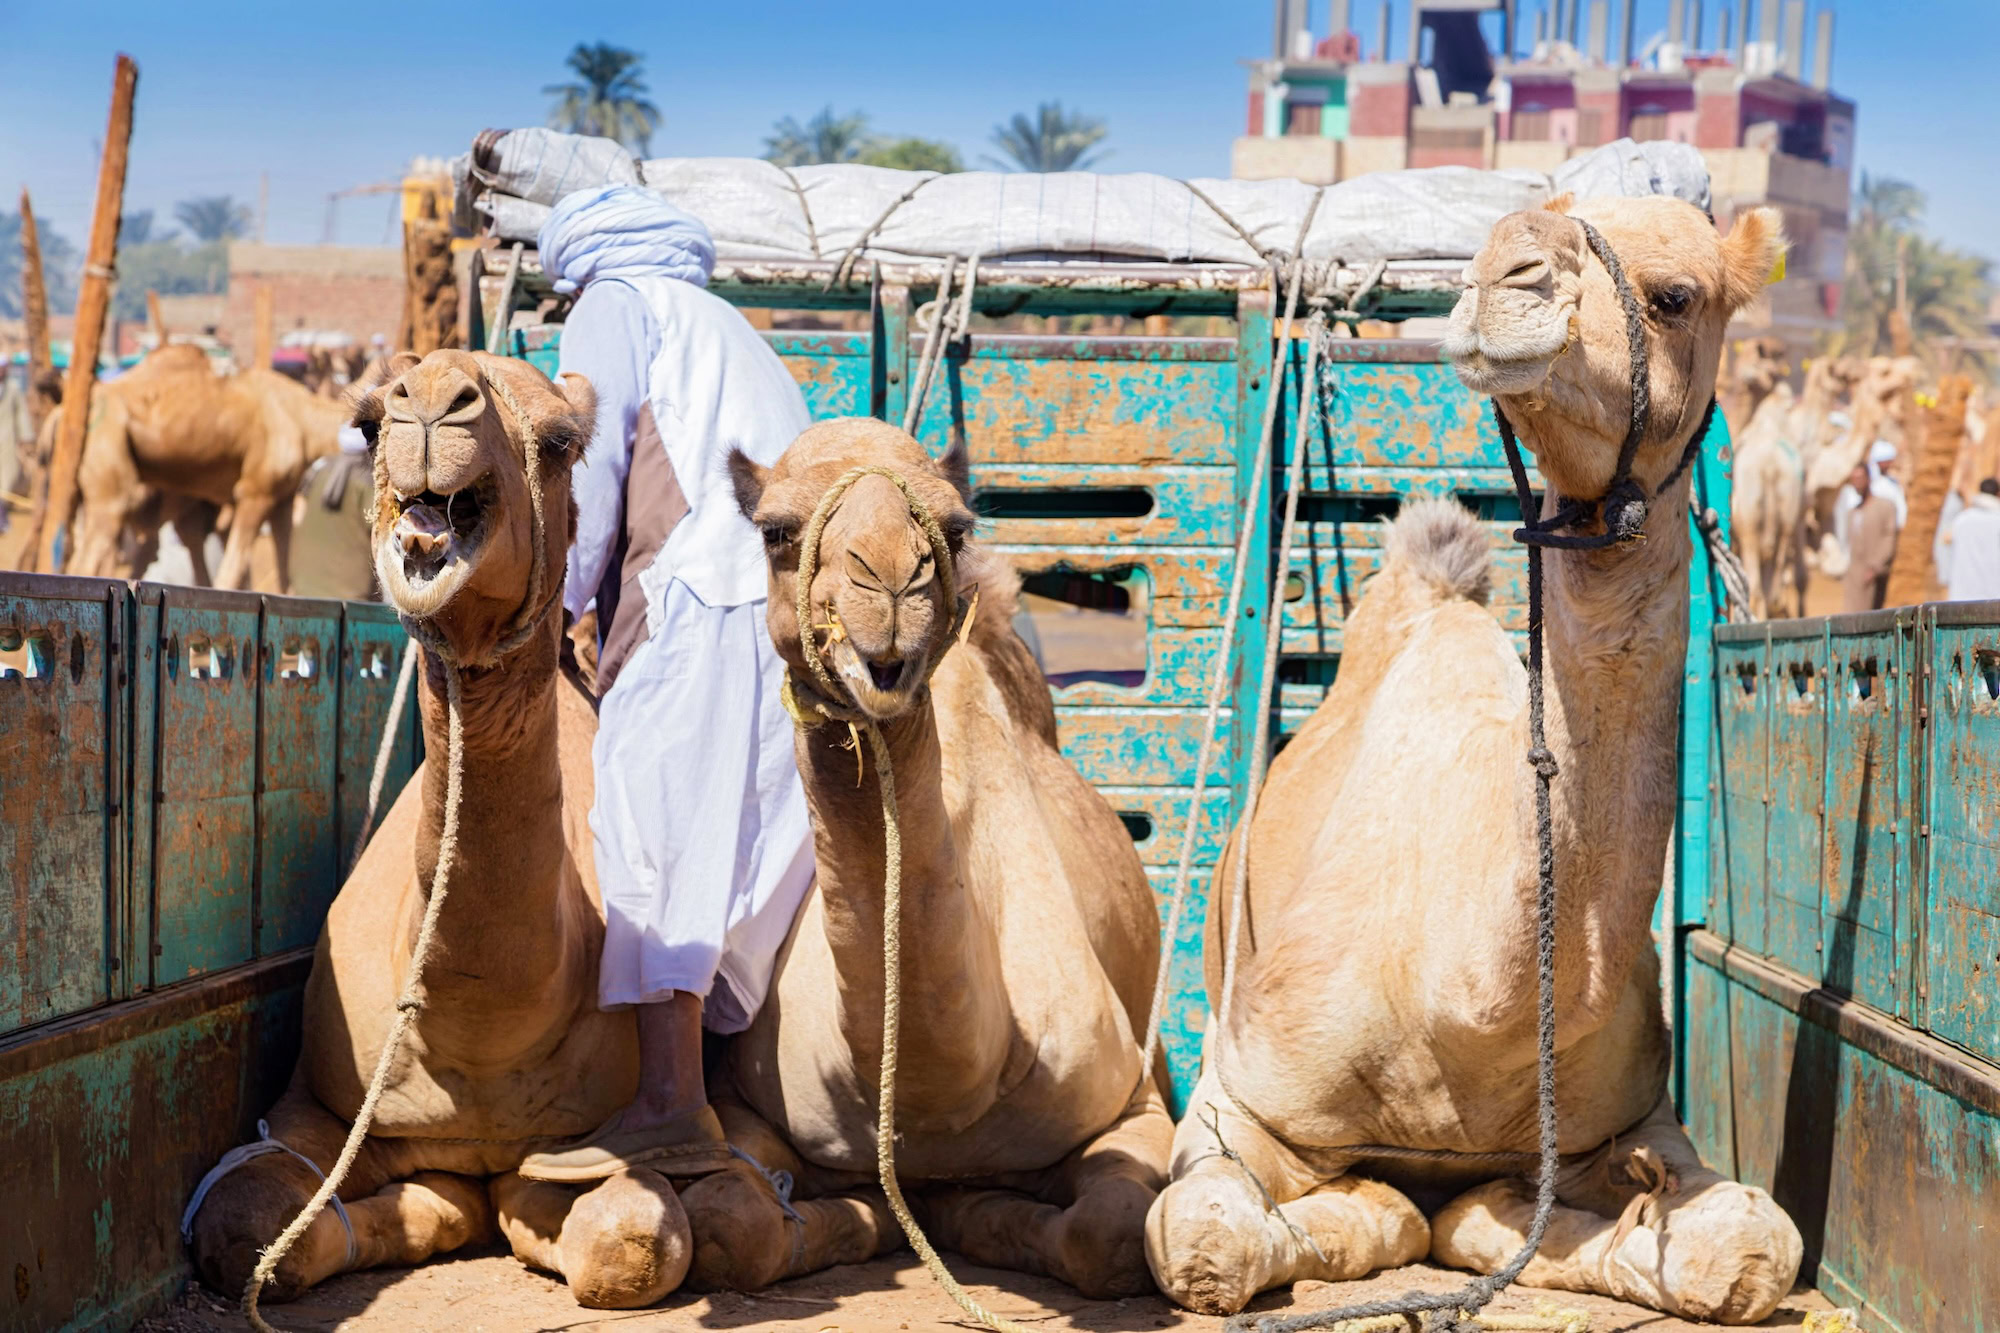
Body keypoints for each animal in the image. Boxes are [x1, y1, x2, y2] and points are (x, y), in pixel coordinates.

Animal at [63, 346, 349, 590]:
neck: (304, 421)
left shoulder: (283, 499)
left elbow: (285, 575)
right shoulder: (255, 492)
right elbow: (230, 573)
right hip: (110, 468)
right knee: (90, 559)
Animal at [185, 349, 695, 1311]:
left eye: (561, 441)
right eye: (366, 423)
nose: (429, 401)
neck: (480, 1035)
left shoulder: (596, 1140)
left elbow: (632, 1237)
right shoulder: (315, 1107)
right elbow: (240, 1221)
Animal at [688, 417, 1173, 1299]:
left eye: (953, 526)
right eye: (775, 530)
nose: (887, 579)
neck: (937, 1099)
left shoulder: (1131, 1095)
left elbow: (1111, 1231)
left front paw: (978, 1215)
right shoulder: (746, 1099)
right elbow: (736, 1224)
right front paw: (873, 1217)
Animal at [1143, 195, 1803, 1324]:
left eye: (1675, 294)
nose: (1507, 272)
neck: (1462, 1009)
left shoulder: (1633, 1115)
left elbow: (1755, 1244)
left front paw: (1547, 1218)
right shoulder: (1238, 1094)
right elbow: (1205, 1239)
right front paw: (1391, 1210)